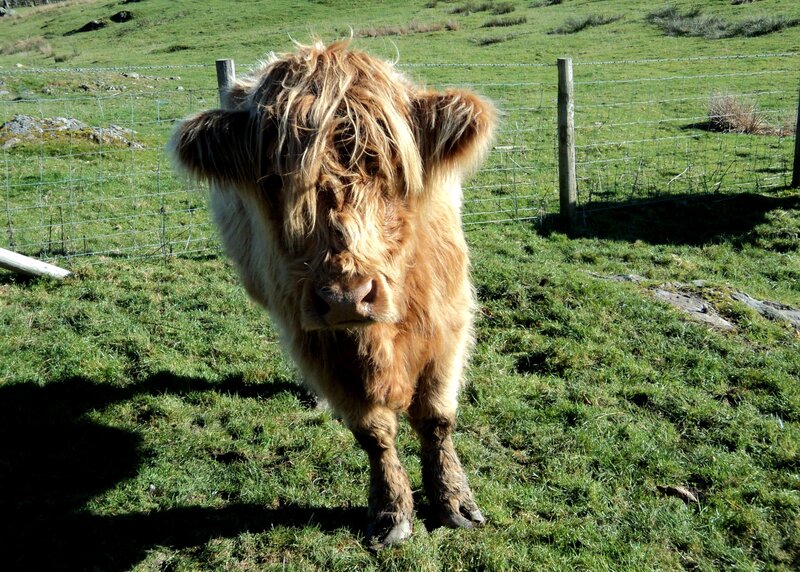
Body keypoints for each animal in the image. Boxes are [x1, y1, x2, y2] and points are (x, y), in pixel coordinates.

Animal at [170, 40, 496, 547]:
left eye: (390, 167)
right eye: (274, 180)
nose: (347, 297)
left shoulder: (448, 323)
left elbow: (437, 417)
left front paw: (454, 502)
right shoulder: (319, 344)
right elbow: (373, 432)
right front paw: (391, 512)